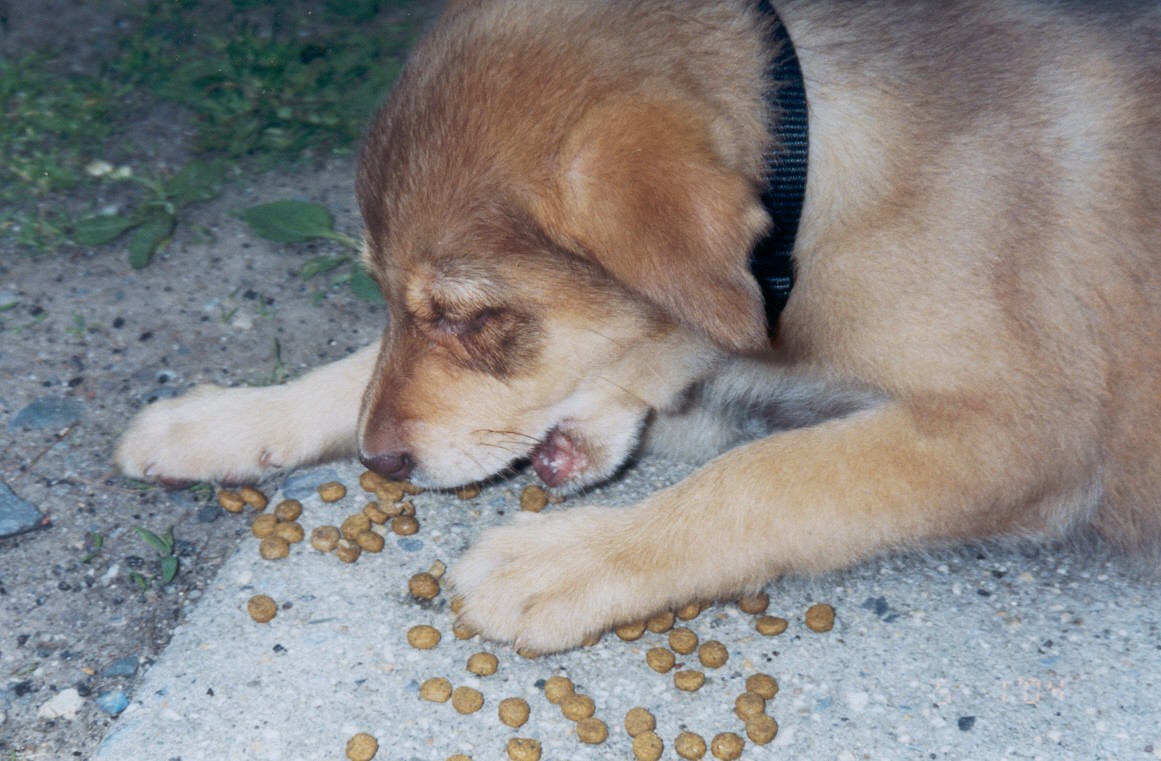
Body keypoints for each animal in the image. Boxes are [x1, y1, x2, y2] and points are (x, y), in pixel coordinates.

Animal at [120, 0, 1161, 655]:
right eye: (381, 293)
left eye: (472, 316)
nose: (381, 464)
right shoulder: (734, 389)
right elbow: (351, 371)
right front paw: (218, 420)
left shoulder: (1021, 429)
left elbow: (768, 479)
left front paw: (563, 561)